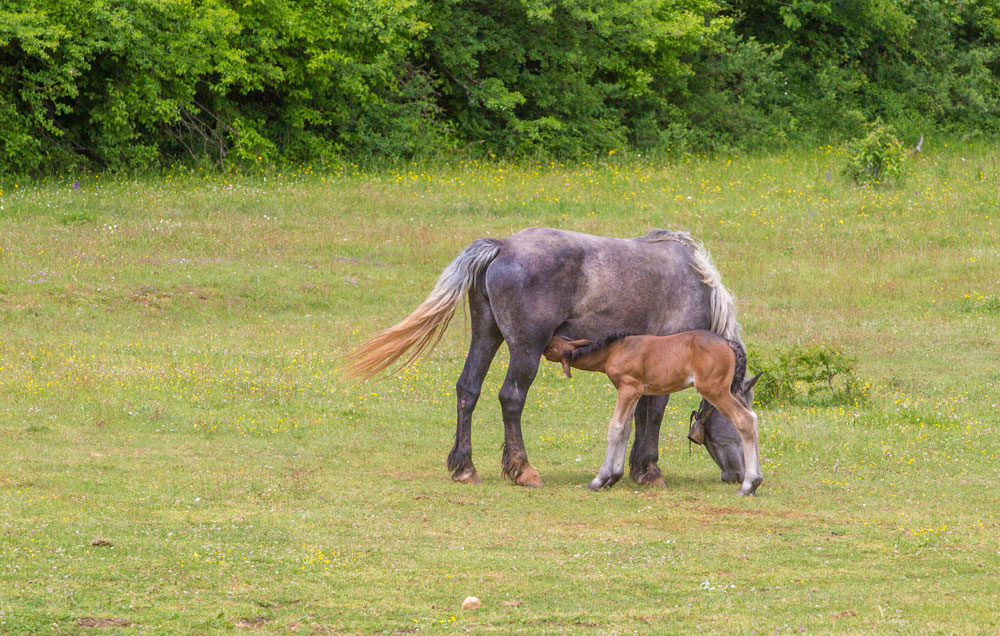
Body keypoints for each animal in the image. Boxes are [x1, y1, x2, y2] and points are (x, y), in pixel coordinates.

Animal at [544, 332, 760, 496]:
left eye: (552, 344)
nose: (542, 343)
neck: (616, 349)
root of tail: (730, 344)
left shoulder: (628, 388)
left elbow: (615, 428)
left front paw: (599, 480)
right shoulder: (635, 392)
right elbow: (626, 429)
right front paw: (614, 477)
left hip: (715, 390)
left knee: (744, 420)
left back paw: (747, 485)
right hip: (732, 391)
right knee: (753, 418)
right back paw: (755, 482)